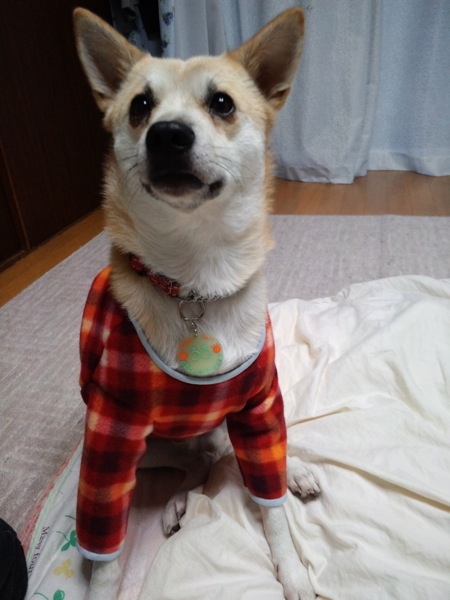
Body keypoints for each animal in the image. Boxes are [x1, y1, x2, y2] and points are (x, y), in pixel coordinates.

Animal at [73, 7, 319, 600]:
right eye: (140, 106)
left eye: (222, 103)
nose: (166, 134)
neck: (195, 280)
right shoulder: (111, 434)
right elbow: (105, 551)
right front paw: (102, 586)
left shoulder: (259, 405)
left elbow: (272, 505)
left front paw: (291, 567)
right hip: (152, 446)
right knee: (199, 463)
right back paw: (178, 501)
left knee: (229, 453)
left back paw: (294, 467)